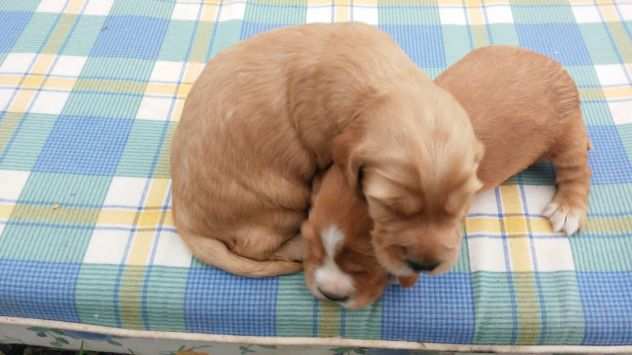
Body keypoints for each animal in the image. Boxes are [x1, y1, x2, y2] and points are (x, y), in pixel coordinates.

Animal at [169, 23, 478, 278]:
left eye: (459, 207)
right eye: (387, 207)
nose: (424, 266)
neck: (383, 82)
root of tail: (183, 219)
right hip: (280, 202)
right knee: (256, 247)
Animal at [306, 44, 592, 306]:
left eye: (366, 265)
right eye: (313, 246)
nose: (331, 295)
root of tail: (554, 65)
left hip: (565, 134)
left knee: (577, 167)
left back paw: (568, 208)